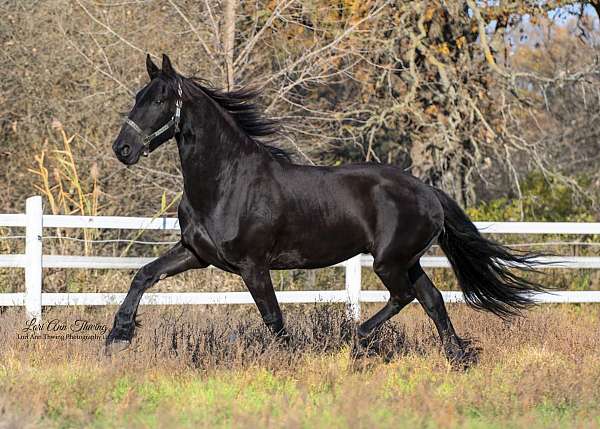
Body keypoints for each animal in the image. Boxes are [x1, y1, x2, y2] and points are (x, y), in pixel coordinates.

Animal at [106, 53, 544, 362]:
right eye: (137, 97)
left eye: (160, 99)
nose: (122, 149)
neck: (226, 182)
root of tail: (428, 191)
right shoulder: (196, 253)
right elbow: (144, 275)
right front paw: (118, 336)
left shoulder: (253, 265)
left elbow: (273, 317)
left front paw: (291, 359)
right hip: (408, 260)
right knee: (432, 299)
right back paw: (458, 357)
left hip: (389, 261)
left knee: (404, 297)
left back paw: (358, 339)